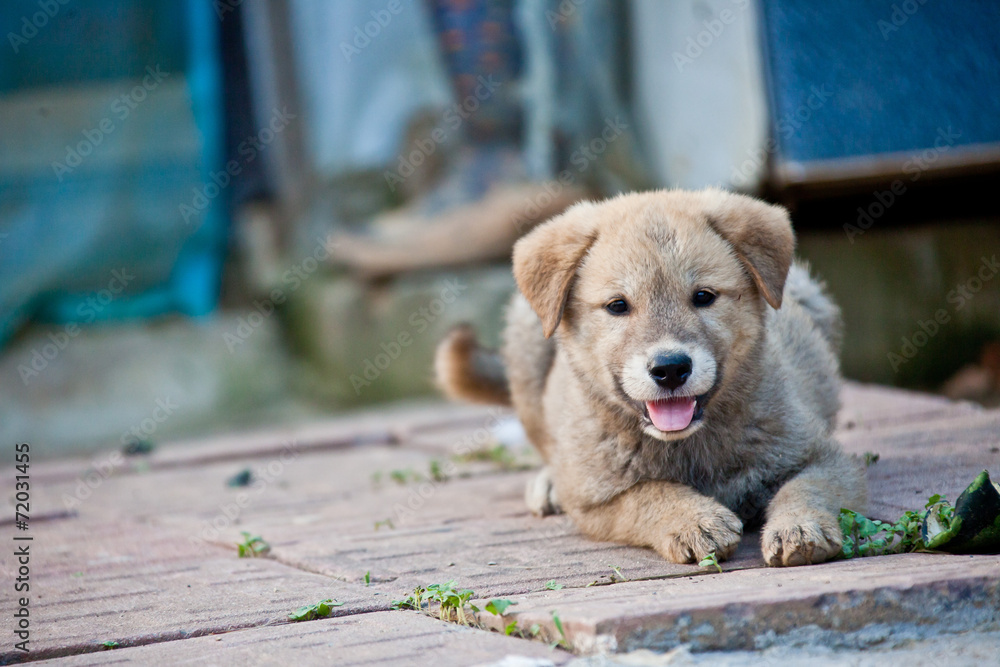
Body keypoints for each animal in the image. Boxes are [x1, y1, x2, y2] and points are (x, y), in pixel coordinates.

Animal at [436, 189, 868, 568]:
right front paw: (695, 521)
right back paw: (549, 481)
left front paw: (801, 529)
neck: (688, 447)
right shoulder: (596, 500)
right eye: (617, 306)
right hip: (527, 338)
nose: (671, 368)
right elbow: (648, 494)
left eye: (703, 296)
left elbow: (805, 488)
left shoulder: (822, 455)